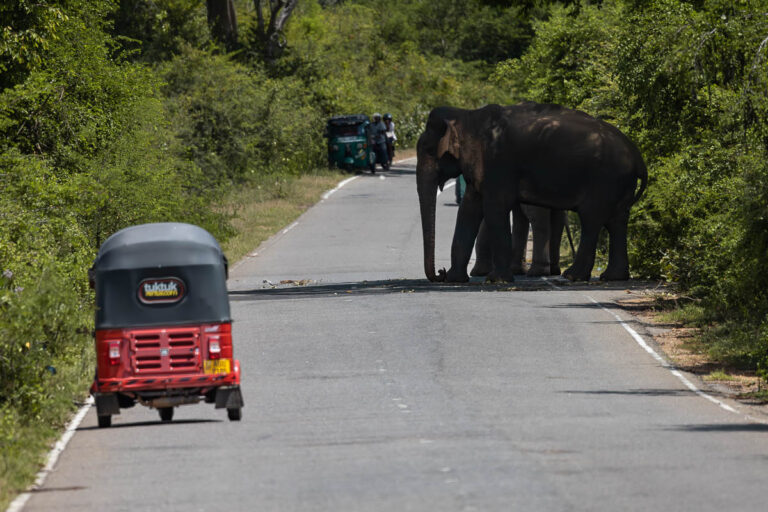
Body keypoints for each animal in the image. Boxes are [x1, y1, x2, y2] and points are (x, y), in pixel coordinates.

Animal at [416, 101, 647, 283]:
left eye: (429, 150)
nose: (440, 273)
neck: (466, 116)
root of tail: (637, 155)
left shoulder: (498, 162)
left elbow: (494, 208)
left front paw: (497, 280)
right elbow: (468, 211)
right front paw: (456, 280)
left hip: (605, 179)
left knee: (592, 220)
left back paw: (572, 276)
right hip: (620, 182)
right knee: (616, 222)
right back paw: (612, 277)